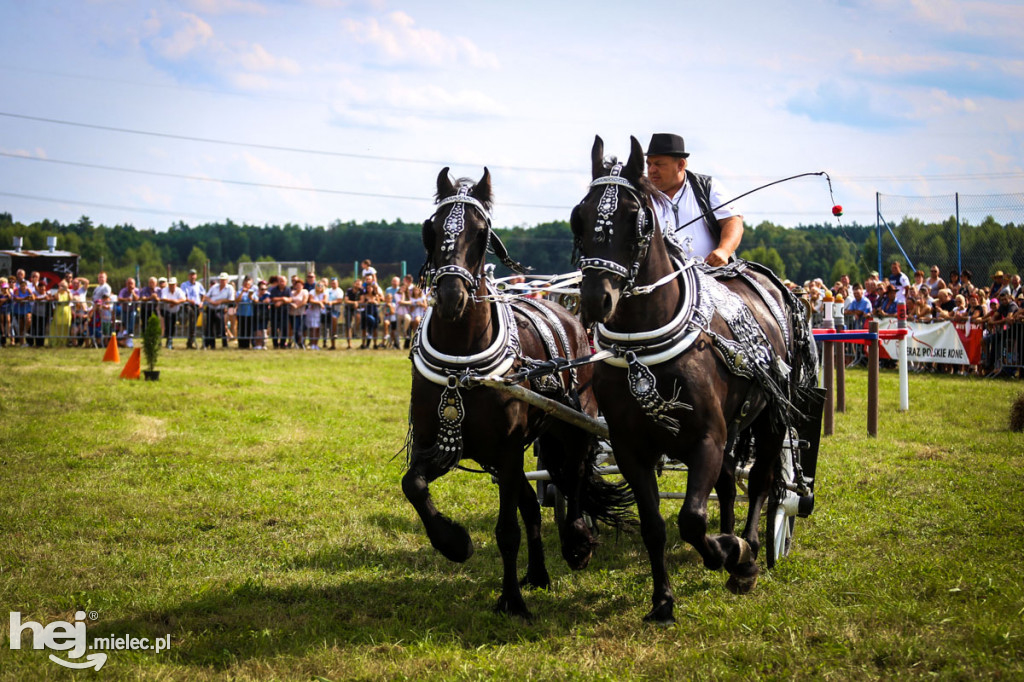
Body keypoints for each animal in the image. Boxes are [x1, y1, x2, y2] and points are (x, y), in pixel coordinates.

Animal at [401, 168, 630, 614]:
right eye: (432, 229)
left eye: (481, 232)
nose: (452, 296)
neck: (462, 363)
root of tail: (570, 314)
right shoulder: (436, 441)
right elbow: (413, 486)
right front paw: (454, 542)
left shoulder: (507, 451)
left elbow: (507, 529)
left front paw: (511, 600)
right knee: (532, 503)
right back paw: (538, 573)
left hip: (571, 426)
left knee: (575, 477)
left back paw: (577, 541)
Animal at [569, 135, 815, 622]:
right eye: (579, 216)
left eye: (636, 218)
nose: (594, 300)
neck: (644, 349)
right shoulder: (631, 448)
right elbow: (655, 525)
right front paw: (663, 600)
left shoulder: (706, 438)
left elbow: (691, 518)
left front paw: (735, 557)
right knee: (728, 482)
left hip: (771, 416)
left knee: (762, 482)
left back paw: (750, 546)